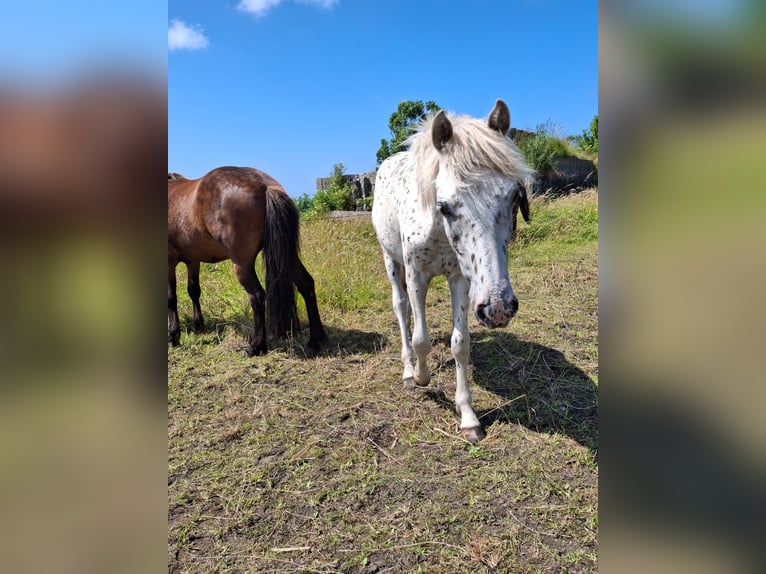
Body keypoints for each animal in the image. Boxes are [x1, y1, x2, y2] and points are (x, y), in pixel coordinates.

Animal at [168, 164, 328, 358]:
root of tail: (266, 186)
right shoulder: (193, 260)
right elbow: (193, 290)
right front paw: (198, 325)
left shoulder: (169, 261)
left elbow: (171, 297)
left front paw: (174, 336)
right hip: (287, 257)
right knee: (307, 285)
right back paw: (314, 341)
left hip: (242, 265)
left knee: (257, 296)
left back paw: (255, 346)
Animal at [374, 100, 536, 446]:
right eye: (445, 206)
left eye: (514, 198)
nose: (499, 308)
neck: (436, 229)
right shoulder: (416, 275)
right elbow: (421, 338)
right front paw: (421, 377)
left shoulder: (461, 278)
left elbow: (460, 343)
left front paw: (468, 417)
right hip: (391, 261)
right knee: (401, 308)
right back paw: (408, 371)